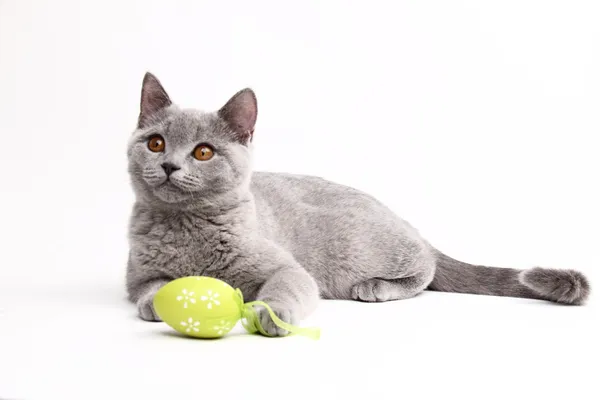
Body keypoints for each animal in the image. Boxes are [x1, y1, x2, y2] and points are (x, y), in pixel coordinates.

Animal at [125, 73, 592, 336]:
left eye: (203, 152)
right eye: (156, 143)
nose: (168, 165)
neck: (187, 227)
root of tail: (397, 215)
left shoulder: (287, 268)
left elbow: (285, 286)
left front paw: (273, 314)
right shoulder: (138, 276)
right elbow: (150, 289)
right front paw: (159, 303)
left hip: (353, 249)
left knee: (426, 266)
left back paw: (377, 287)